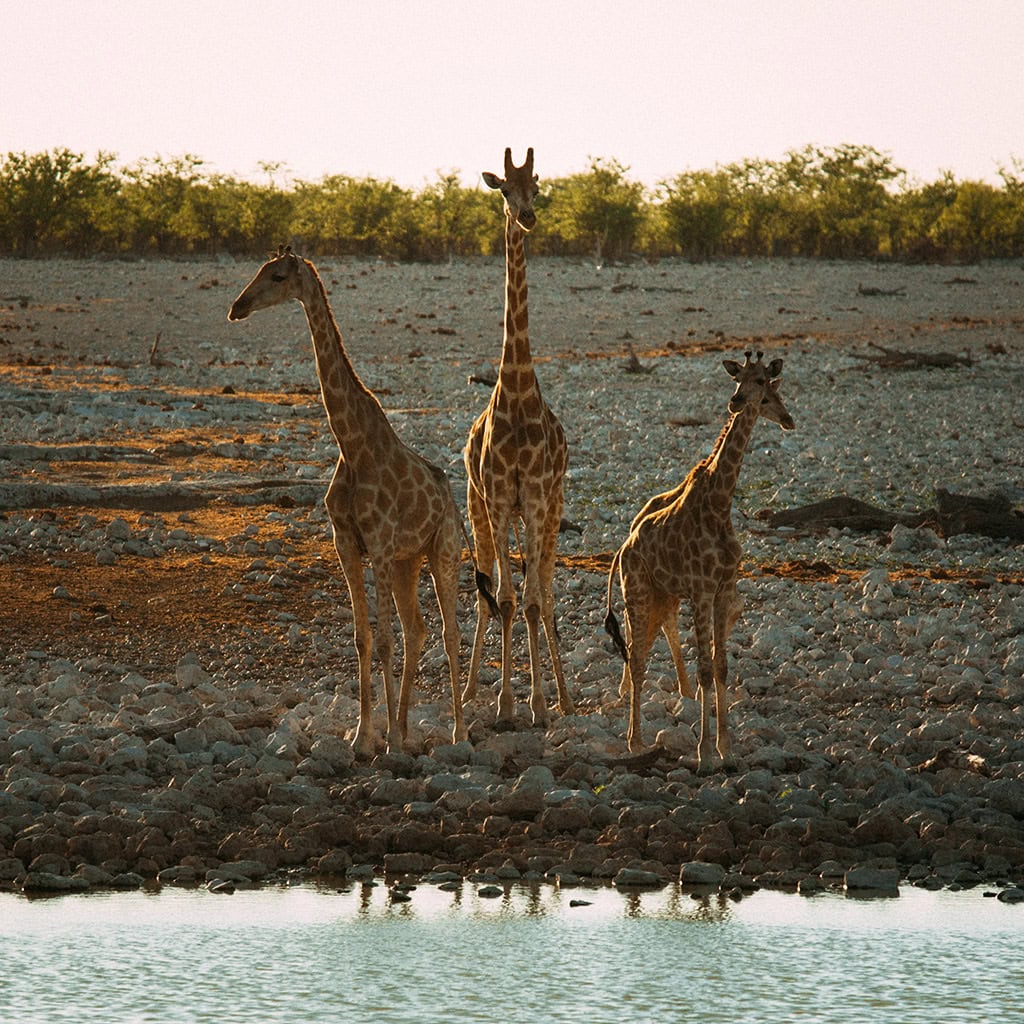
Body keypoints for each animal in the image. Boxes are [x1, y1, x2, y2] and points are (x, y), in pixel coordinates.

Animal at [228, 247, 465, 757]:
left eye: (278, 276)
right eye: (257, 270)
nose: (237, 307)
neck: (352, 445)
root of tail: (452, 502)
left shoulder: (378, 544)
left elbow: (384, 642)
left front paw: (386, 741)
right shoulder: (347, 544)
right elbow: (362, 638)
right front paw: (363, 736)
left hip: (444, 552)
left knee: (450, 633)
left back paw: (457, 730)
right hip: (408, 562)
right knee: (418, 630)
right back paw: (405, 726)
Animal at [604, 351, 795, 771]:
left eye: (762, 382)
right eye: (738, 379)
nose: (736, 402)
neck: (721, 504)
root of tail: (624, 549)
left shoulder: (722, 590)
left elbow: (721, 668)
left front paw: (727, 748)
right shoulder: (701, 591)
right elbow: (705, 669)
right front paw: (705, 753)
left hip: (661, 597)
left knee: (643, 651)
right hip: (637, 595)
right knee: (637, 660)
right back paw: (634, 740)